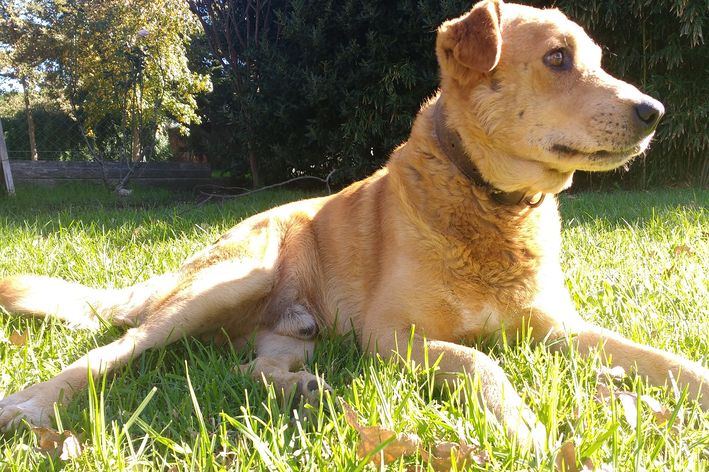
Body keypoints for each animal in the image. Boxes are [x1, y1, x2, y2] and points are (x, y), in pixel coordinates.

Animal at [1, 0, 708, 450]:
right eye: (558, 59)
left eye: (597, 59)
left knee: (249, 368)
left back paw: (302, 391)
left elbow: (665, 361)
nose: (655, 110)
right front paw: (524, 427)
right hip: (230, 282)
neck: (495, 207)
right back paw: (30, 403)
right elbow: (479, 359)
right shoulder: (391, 336)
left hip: (294, 331)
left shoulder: (562, 329)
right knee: (112, 352)